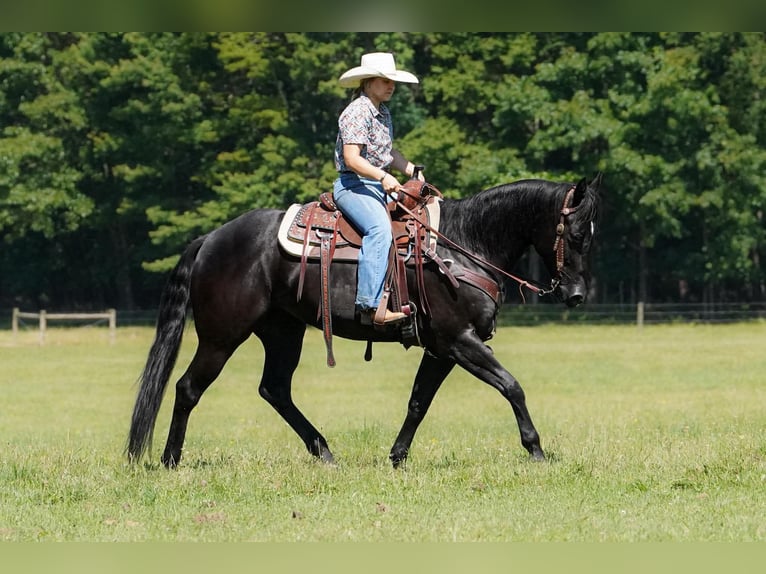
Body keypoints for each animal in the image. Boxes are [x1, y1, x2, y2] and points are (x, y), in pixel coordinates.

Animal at [127, 173, 601, 468]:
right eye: (577, 234)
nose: (577, 295)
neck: (462, 245)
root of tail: (211, 239)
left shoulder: (442, 348)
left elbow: (418, 401)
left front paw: (397, 456)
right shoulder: (460, 340)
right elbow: (511, 386)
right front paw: (536, 450)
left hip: (283, 332)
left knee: (274, 389)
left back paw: (324, 452)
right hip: (222, 337)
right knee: (188, 388)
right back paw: (170, 460)